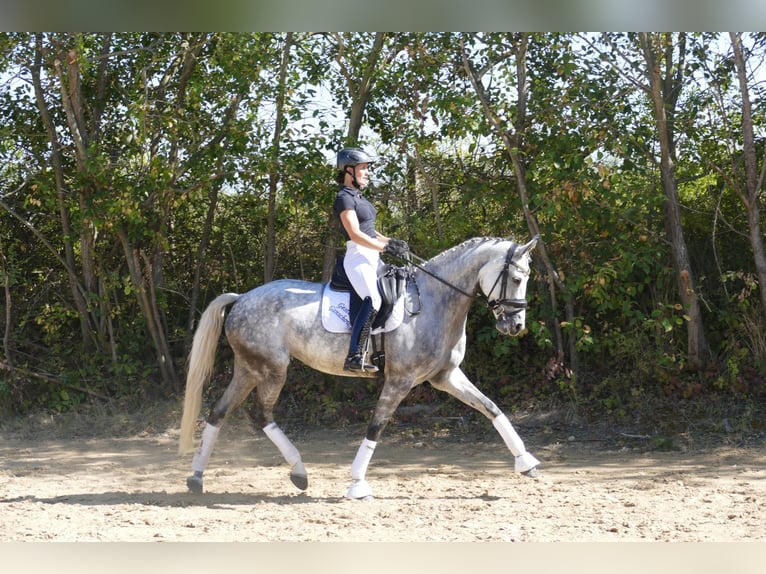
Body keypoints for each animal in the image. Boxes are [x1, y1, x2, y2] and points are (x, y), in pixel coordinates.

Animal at [178, 236, 540, 502]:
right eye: (516, 278)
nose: (516, 326)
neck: (435, 301)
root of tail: (241, 298)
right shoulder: (400, 381)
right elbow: (375, 427)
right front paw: (357, 484)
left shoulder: (446, 377)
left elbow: (491, 408)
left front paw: (527, 463)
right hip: (272, 369)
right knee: (260, 413)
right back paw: (299, 472)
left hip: (249, 369)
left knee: (219, 412)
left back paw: (197, 477)